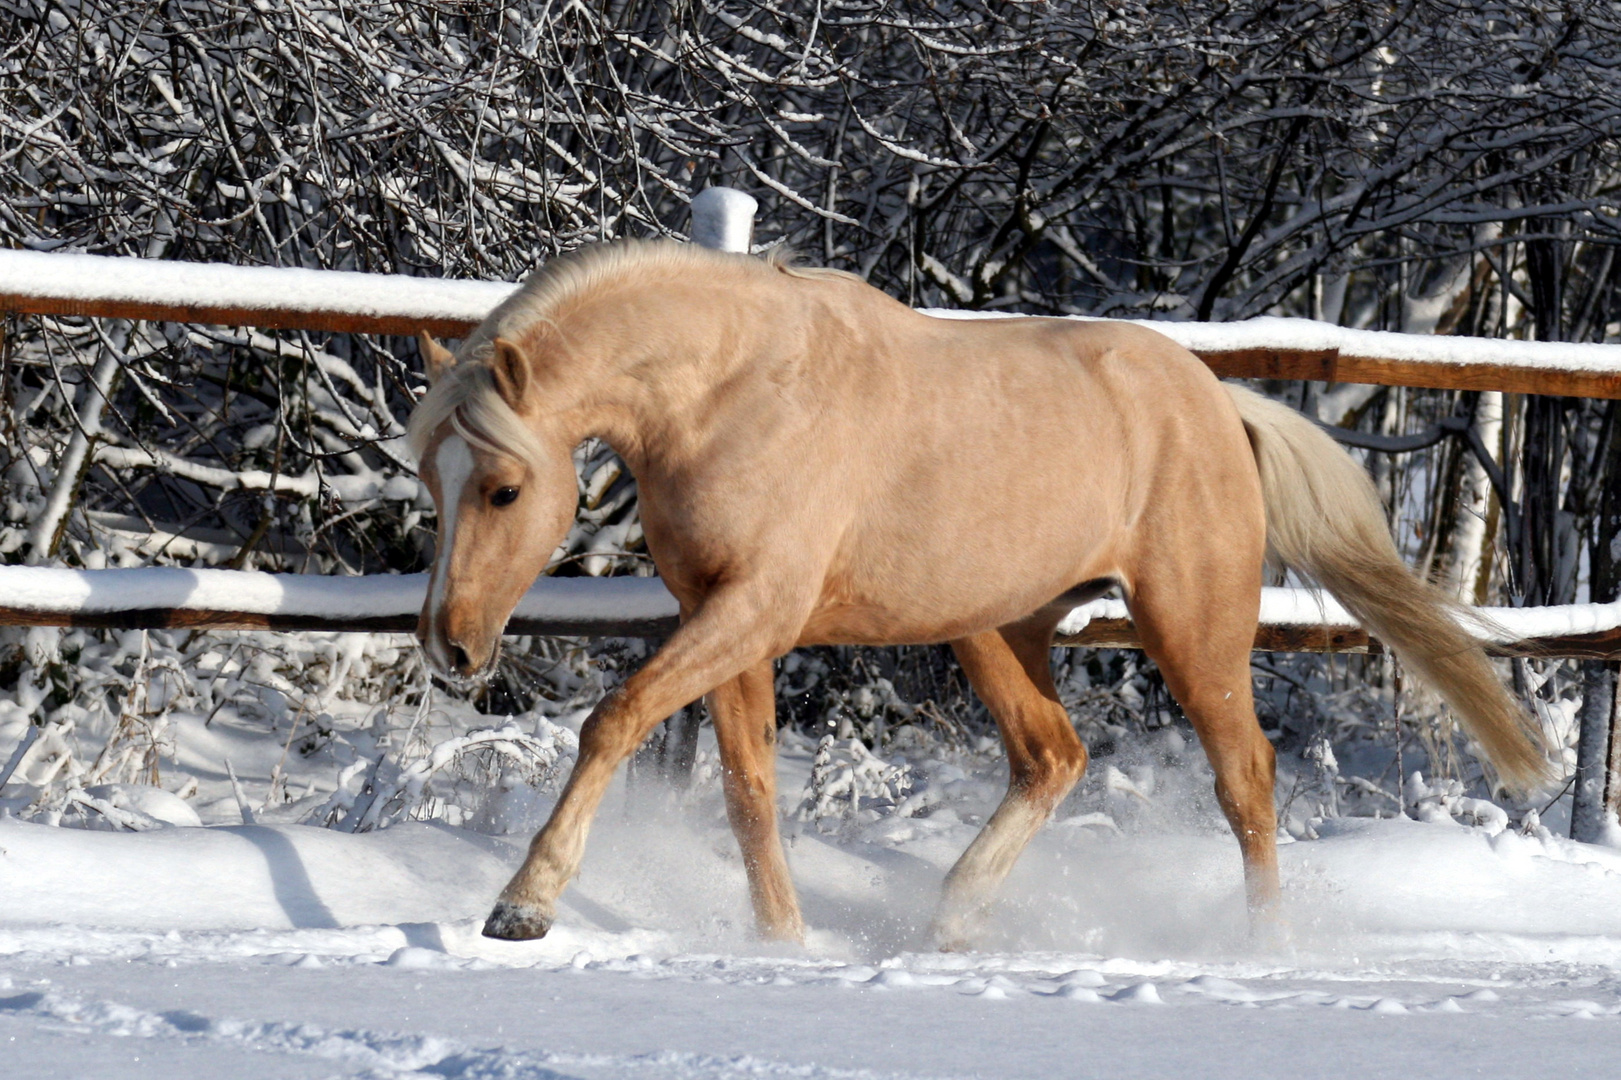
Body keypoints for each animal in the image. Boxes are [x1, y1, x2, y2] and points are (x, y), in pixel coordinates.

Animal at [408, 241, 1543, 940]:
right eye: (430, 478)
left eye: (505, 488)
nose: (451, 646)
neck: (731, 392)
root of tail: (1219, 403)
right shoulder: (723, 616)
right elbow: (747, 791)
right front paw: (784, 942)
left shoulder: (756, 609)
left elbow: (615, 718)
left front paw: (523, 904)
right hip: (993, 627)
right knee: (1053, 755)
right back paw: (952, 917)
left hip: (1191, 626)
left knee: (1246, 780)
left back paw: (1261, 951)